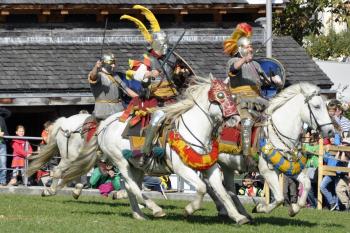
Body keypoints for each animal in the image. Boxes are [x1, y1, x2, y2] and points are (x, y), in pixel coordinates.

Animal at [211, 82, 334, 217]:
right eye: (316, 106)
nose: (330, 131)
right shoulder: (267, 172)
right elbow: (280, 198)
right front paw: (260, 208)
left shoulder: (289, 170)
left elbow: (306, 183)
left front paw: (294, 209)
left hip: (226, 166)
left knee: (228, 189)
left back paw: (238, 213)